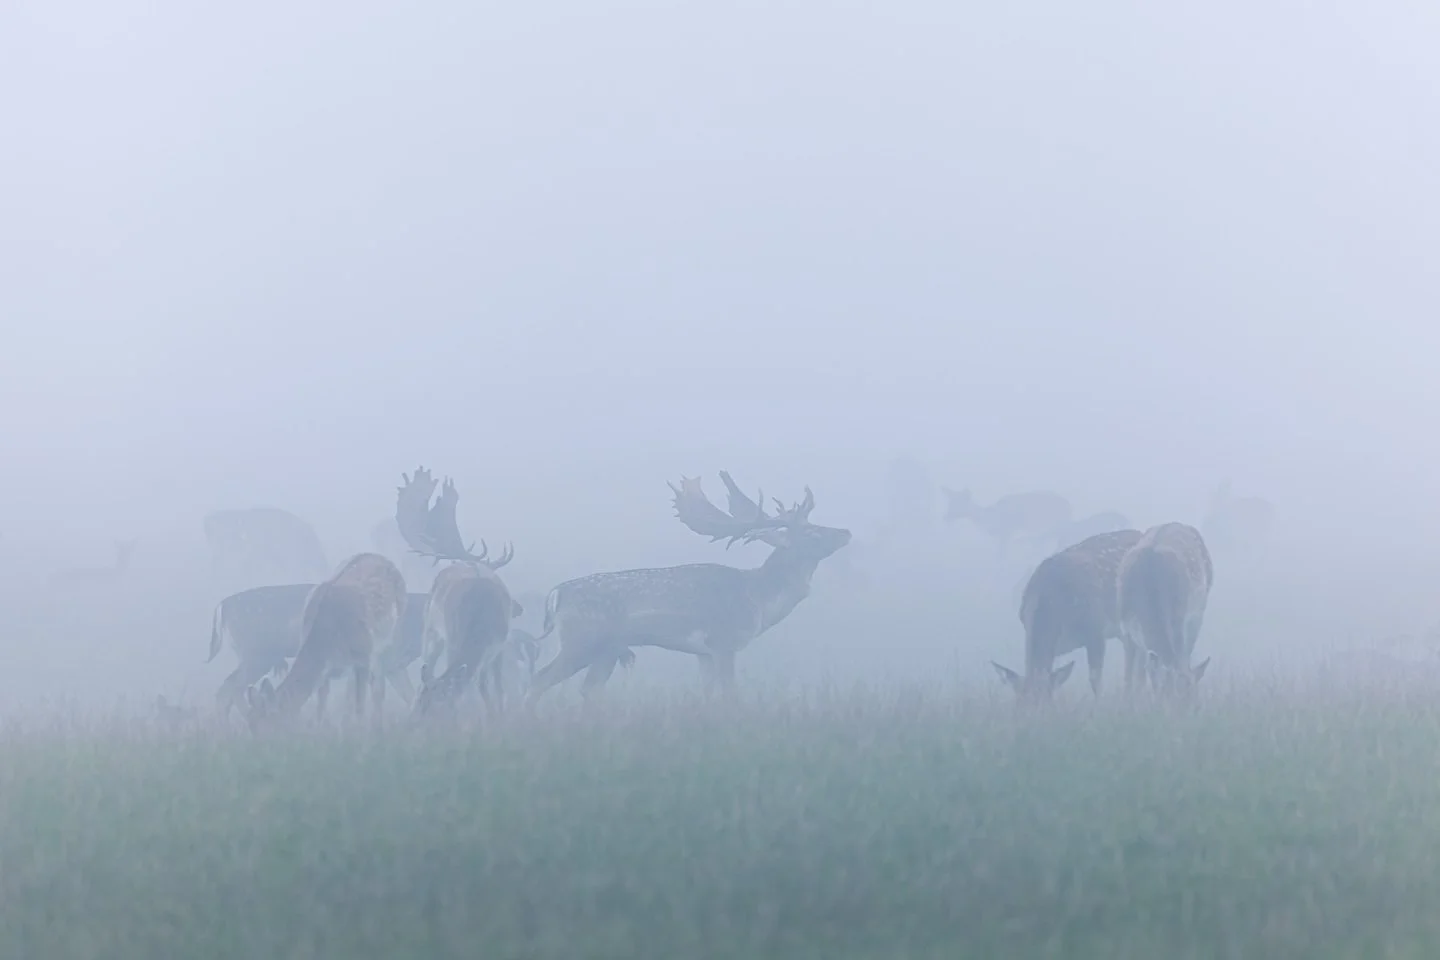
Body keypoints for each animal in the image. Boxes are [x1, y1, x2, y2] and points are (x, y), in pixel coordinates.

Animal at [243, 552, 407, 731]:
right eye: (249, 722)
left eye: (270, 721)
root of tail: (383, 558)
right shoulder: (328, 669)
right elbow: (321, 703)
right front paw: (321, 728)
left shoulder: (363, 655)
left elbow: (360, 703)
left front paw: (360, 731)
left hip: (391, 634)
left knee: (380, 683)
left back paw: (377, 724)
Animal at [526, 472, 851, 703]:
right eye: (811, 532)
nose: (846, 531)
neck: (759, 598)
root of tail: (556, 594)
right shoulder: (725, 640)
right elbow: (730, 694)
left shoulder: (703, 653)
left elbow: (705, 694)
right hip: (582, 638)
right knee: (540, 680)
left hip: (606, 648)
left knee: (589, 688)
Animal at [942, 487, 1072, 559]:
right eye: (950, 502)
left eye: (960, 502)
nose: (946, 517)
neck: (989, 518)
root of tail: (1068, 506)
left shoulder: (1006, 533)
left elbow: (1001, 554)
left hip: (1057, 526)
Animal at [1116, 522, 1214, 699]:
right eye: (1188, 695)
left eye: (1193, 698)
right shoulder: (1125, 628)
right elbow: (1133, 673)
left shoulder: (1180, 621)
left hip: (1197, 614)